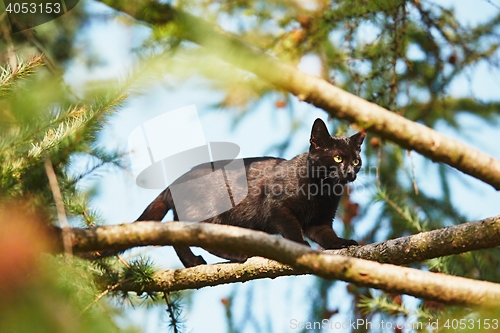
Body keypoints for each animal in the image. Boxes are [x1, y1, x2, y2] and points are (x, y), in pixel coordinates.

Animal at [136, 118, 364, 266]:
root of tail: (174, 182)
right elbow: (292, 230)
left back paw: (192, 262)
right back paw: (233, 255)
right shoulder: (276, 207)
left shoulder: (320, 221)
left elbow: (328, 237)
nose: (350, 172)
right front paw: (301, 247)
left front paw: (343, 243)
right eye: (337, 158)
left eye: (356, 161)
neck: (324, 191)